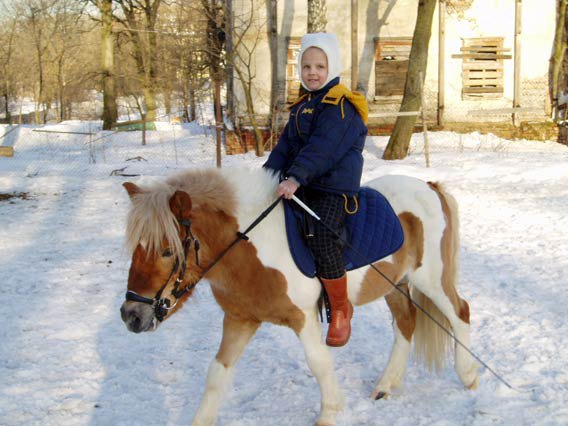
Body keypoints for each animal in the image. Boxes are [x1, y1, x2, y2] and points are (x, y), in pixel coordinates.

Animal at [121, 167, 480, 426]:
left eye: (167, 251)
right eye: (136, 248)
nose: (130, 315)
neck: (249, 246)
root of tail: (430, 186)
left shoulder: (303, 316)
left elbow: (319, 362)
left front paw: (330, 413)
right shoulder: (240, 319)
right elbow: (217, 374)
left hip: (431, 279)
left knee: (460, 313)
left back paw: (469, 377)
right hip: (395, 284)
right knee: (406, 323)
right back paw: (386, 386)